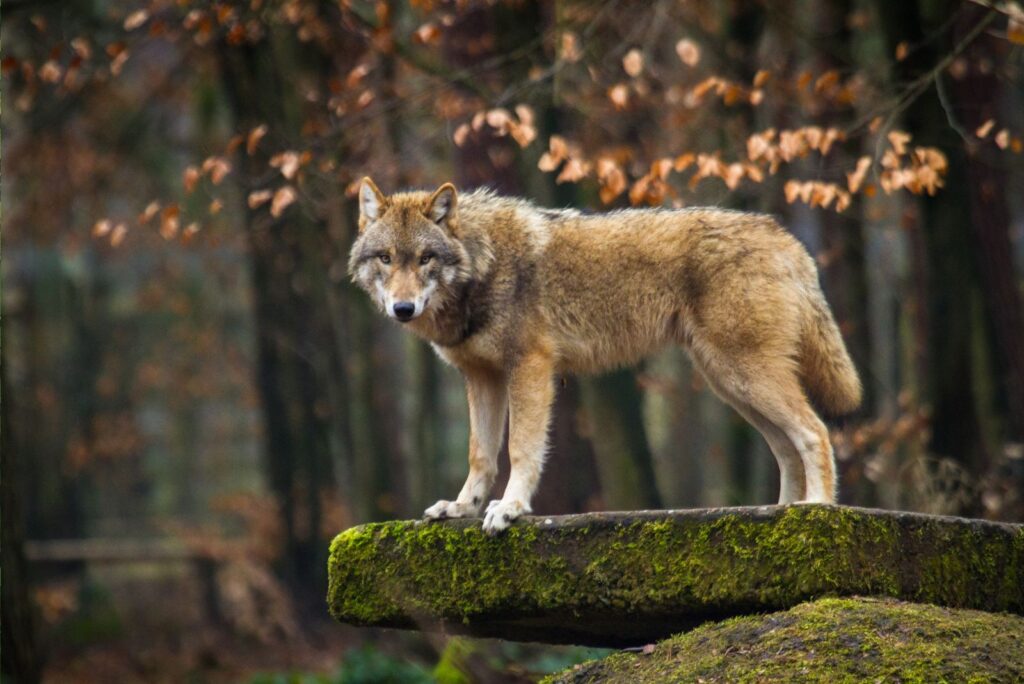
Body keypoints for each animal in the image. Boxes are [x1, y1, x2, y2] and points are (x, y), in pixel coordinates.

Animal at [348, 176, 860, 532]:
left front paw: (509, 508)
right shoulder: (481, 377)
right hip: (731, 383)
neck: (483, 263)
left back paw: (817, 509)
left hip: (744, 376)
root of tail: (786, 238)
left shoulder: (530, 368)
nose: (402, 309)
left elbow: (520, 449)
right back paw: (782, 513)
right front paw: (461, 507)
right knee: (786, 447)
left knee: (814, 432)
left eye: (425, 259)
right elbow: (481, 454)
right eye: (386, 258)